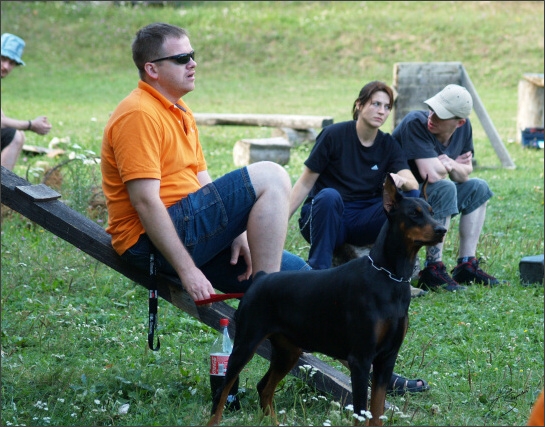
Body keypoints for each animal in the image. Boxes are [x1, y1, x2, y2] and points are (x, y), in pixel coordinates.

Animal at [206, 174, 444, 424]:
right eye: (414, 213)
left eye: (431, 211)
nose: (442, 229)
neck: (390, 278)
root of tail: (260, 278)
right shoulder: (361, 360)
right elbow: (361, 413)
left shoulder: (386, 359)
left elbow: (377, 413)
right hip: (246, 343)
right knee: (222, 391)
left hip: (288, 351)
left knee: (264, 387)